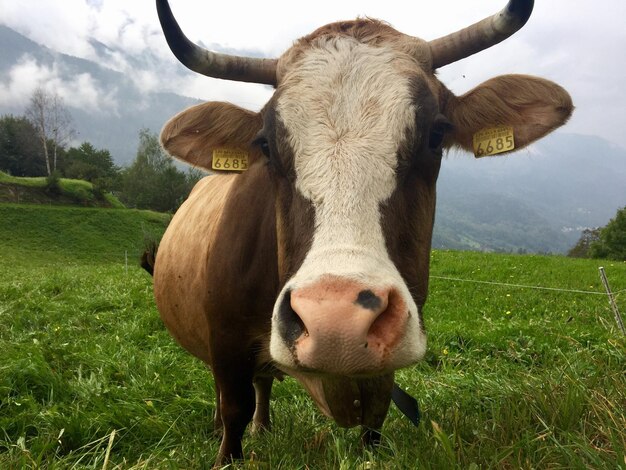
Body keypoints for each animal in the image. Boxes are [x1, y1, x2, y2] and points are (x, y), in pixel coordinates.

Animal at [151, 0, 572, 462]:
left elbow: (374, 421)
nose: (335, 322)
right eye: (265, 145)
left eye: (436, 134)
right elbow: (233, 410)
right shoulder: (226, 344)